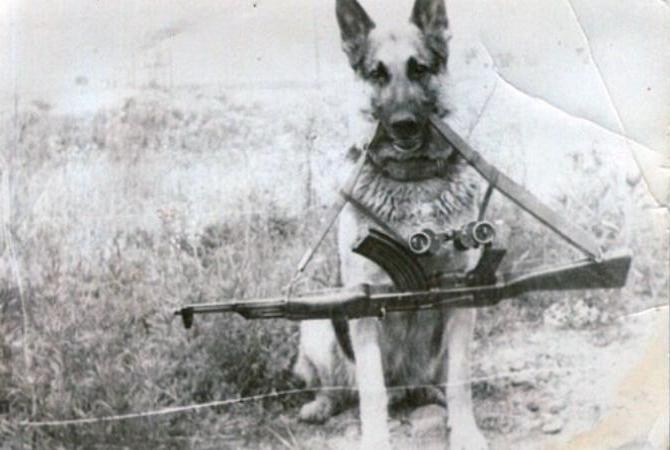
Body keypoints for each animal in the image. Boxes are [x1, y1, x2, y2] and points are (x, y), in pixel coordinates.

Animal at [294, 1, 488, 448]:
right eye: (377, 74)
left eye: (419, 69)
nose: (403, 124)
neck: (413, 180)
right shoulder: (365, 308)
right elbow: (371, 390)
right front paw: (376, 439)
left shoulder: (462, 298)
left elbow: (461, 381)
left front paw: (465, 432)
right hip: (317, 326)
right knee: (340, 388)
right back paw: (320, 406)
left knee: (432, 382)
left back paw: (430, 395)